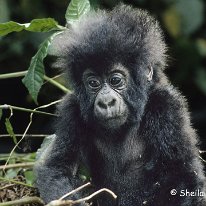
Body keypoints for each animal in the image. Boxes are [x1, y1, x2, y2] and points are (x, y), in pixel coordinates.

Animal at [34, 3, 206, 206]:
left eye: (115, 80)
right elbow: (57, 169)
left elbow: (183, 175)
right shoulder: (72, 110)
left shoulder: (166, 104)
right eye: (93, 83)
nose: (106, 102)